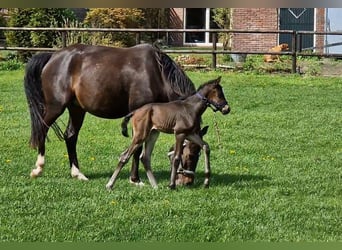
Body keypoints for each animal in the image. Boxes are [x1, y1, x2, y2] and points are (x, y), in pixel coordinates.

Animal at [24, 43, 198, 184]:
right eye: (191, 155)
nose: (188, 181)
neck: (157, 73)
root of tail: (53, 56)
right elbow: (137, 148)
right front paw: (135, 179)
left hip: (77, 109)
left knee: (70, 136)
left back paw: (77, 173)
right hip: (56, 107)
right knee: (42, 129)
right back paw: (38, 169)